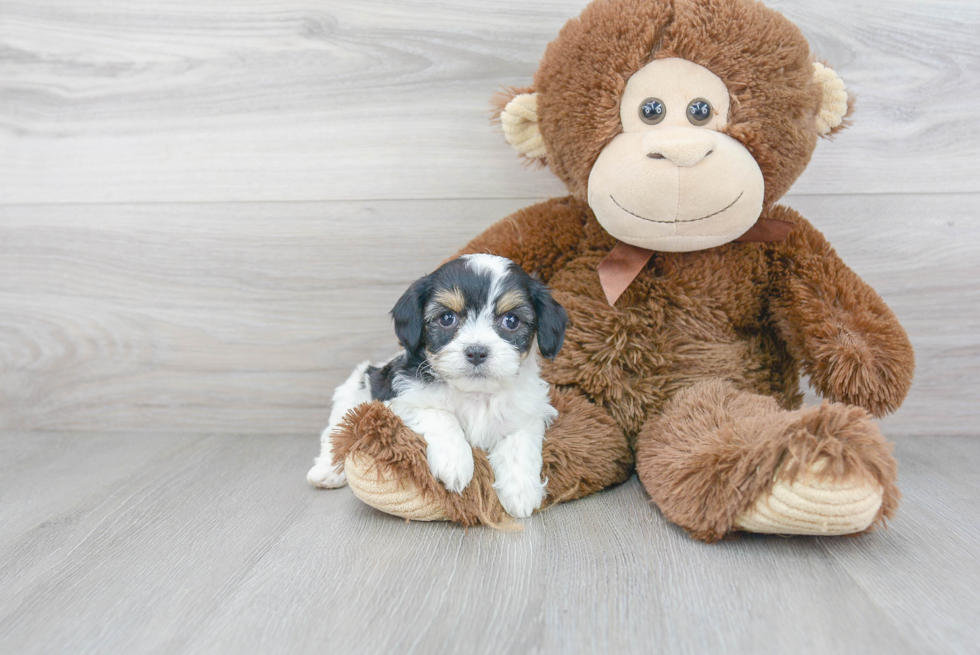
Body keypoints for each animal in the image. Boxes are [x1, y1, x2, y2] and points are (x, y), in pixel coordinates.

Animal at [306, 254, 568, 520]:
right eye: (447, 318)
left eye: (511, 321)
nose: (476, 351)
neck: (475, 393)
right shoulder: (399, 402)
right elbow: (440, 415)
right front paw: (455, 463)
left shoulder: (528, 412)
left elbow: (520, 443)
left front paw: (521, 491)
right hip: (351, 396)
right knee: (335, 435)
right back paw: (327, 472)